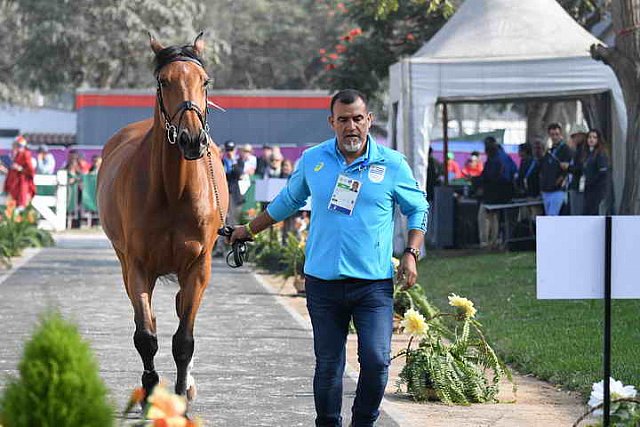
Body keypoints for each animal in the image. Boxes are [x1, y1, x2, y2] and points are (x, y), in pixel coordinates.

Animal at [99, 33, 229, 402]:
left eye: (205, 81)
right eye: (163, 81)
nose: (191, 139)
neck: (174, 191)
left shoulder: (199, 266)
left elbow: (184, 339)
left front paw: (182, 393)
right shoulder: (138, 265)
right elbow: (146, 336)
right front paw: (150, 391)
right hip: (126, 263)